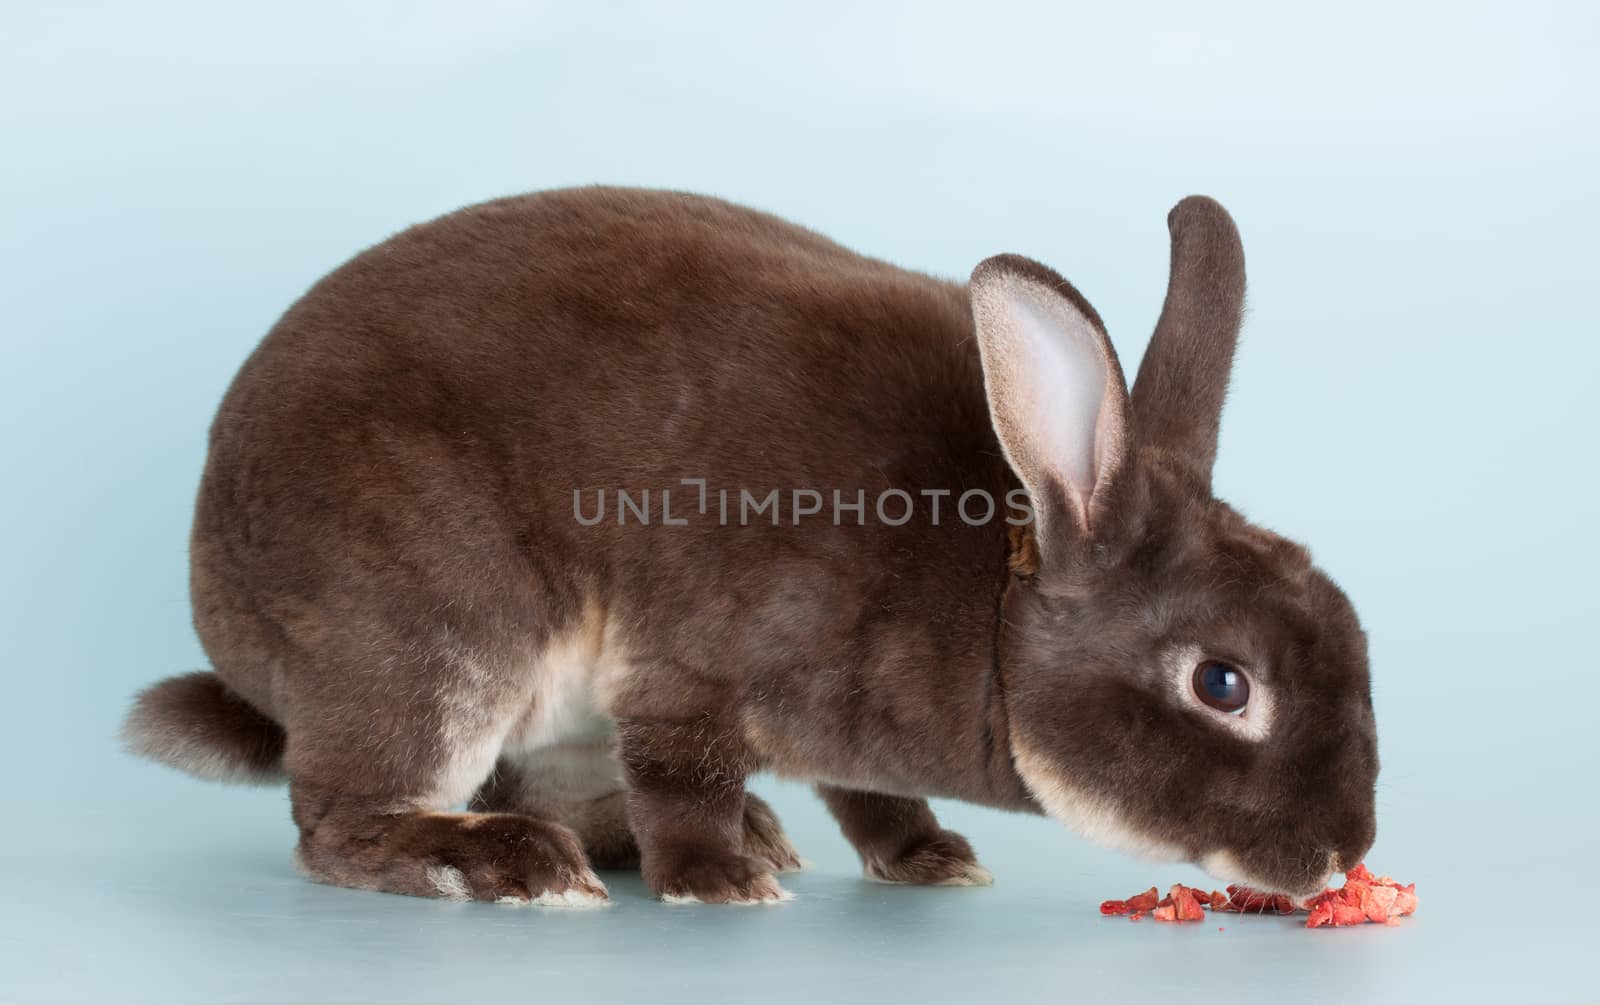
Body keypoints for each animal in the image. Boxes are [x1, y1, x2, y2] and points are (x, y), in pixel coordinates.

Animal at [121, 184, 1376, 908]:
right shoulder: (694, 664)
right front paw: (713, 880)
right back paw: (512, 864)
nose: (1343, 856)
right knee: (338, 818)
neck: (996, 613)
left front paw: (924, 857)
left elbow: (860, 791)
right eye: (1223, 684)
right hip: (433, 638)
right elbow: (686, 771)